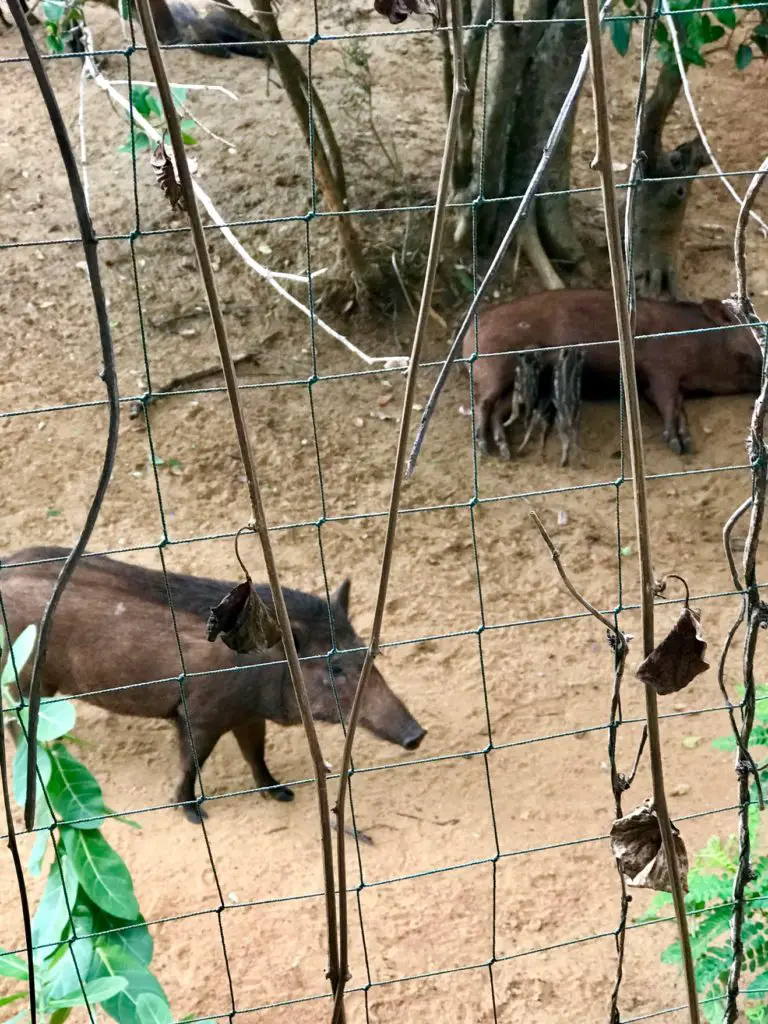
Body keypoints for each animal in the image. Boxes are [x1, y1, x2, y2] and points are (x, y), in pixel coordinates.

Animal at [0, 548, 428, 819]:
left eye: (369, 653)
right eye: (335, 668)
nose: (418, 734)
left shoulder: (247, 714)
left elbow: (256, 754)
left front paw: (282, 793)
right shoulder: (198, 713)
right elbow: (192, 761)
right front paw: (193, 813)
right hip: (24, 674)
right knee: (13, 719)